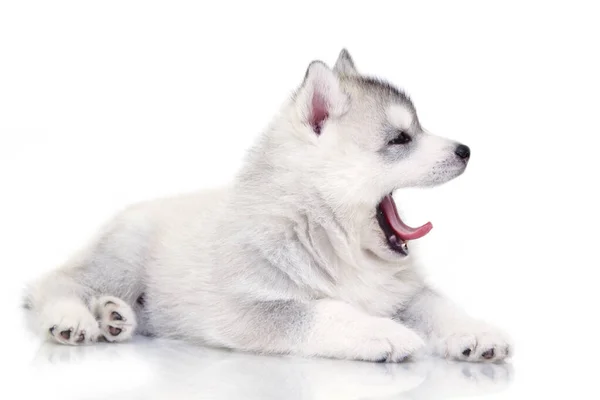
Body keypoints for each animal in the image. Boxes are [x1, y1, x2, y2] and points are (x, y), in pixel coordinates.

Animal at [23, 49, 510, 362]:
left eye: (418, 129)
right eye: (401, 139)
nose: (465, 150)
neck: (331, 235)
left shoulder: (403, 290)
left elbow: (438, 305)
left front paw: (476, 331)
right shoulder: (246, 306)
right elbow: (319, 311)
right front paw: (382, 331)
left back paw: (115, 317)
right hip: (122, 257)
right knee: (57, 282)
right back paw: (74, 318)